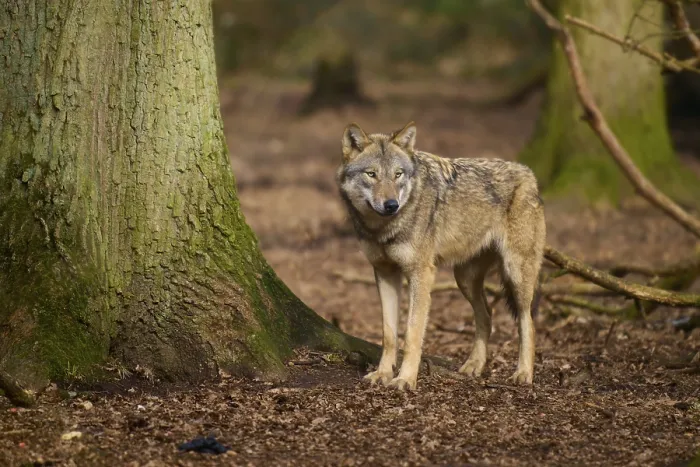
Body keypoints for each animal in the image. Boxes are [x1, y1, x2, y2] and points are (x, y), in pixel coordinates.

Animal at [336, 121, 546, 391]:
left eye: (398, 174)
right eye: (371, 174)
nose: (392, 204)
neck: (383, 229)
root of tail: (528, 173)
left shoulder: (421, 274)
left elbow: (412, 333)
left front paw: (405, 379)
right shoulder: (384, 272)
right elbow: (389, 334)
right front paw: (382, 374)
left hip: (516, 274)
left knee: (527, 322)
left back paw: (523, 373)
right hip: (465, 279)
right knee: (487, 316)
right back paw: (474, 366)